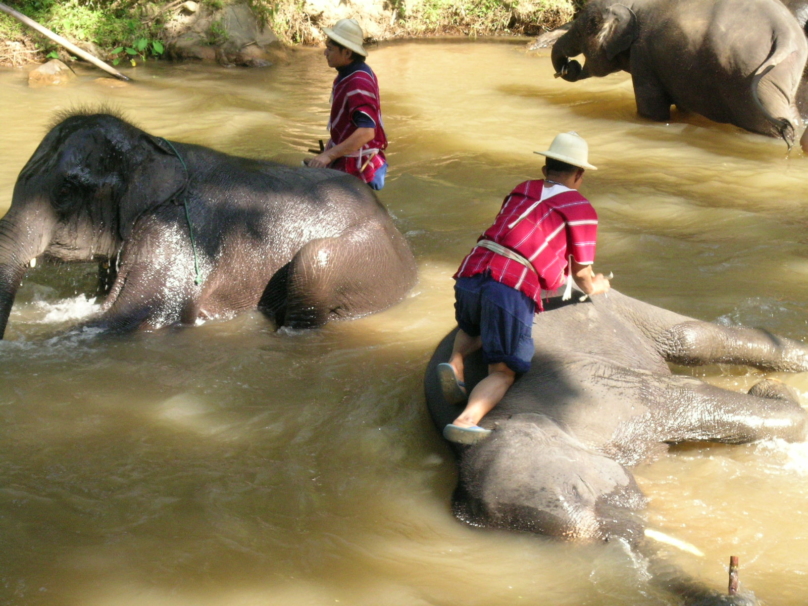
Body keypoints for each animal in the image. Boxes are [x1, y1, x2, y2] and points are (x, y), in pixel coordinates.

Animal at [0, 112, 416, 340]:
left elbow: (135, 317)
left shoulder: (177, 234)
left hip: (372, 258)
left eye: (65, 192)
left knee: (317, 260)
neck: (151, 146)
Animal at [422, 294, 808, 604]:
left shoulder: (597, 390)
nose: (734, 595)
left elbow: (691, 392)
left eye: (579, 488)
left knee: (689, 337)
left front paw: (774, 392)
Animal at [548, 0, 808, 145]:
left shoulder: (643, 57)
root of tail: (784, 33)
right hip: (780, 72)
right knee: (790, 116)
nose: (567, 66)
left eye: (581, 32)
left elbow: (651, 108)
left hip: (745, 76)